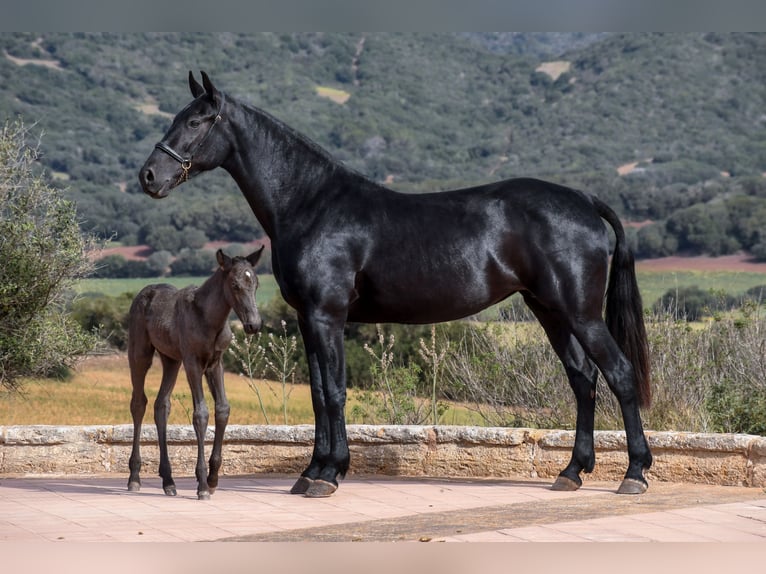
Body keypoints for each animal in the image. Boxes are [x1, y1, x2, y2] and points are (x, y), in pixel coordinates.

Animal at [140, 72, 656, 498]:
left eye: (196, 121)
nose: (148, 176)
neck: (311, 204)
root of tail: (584, 200)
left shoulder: (328, 316)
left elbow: (334, 391)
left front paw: (329, 475)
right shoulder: (309, 320)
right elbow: (318, 393)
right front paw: (312, 472)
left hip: (580, 312)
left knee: (619, 374)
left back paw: (634, 473)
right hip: (549, 310)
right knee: (583, 380)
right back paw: (572, 472)